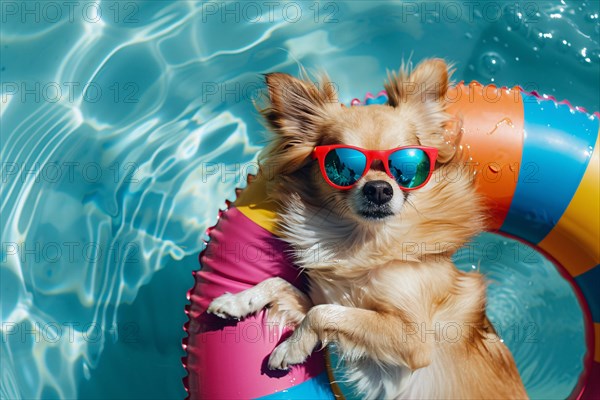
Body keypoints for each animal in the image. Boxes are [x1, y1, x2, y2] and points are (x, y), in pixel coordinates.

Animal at [209, 57, 528, 398]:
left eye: (408, 167)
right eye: (341, 164)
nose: (379, 189)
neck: (364, 243)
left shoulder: (414, 340)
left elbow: (321, 313)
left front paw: (290, 348)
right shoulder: (335, 301)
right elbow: (284, 286)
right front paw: (237, 301)